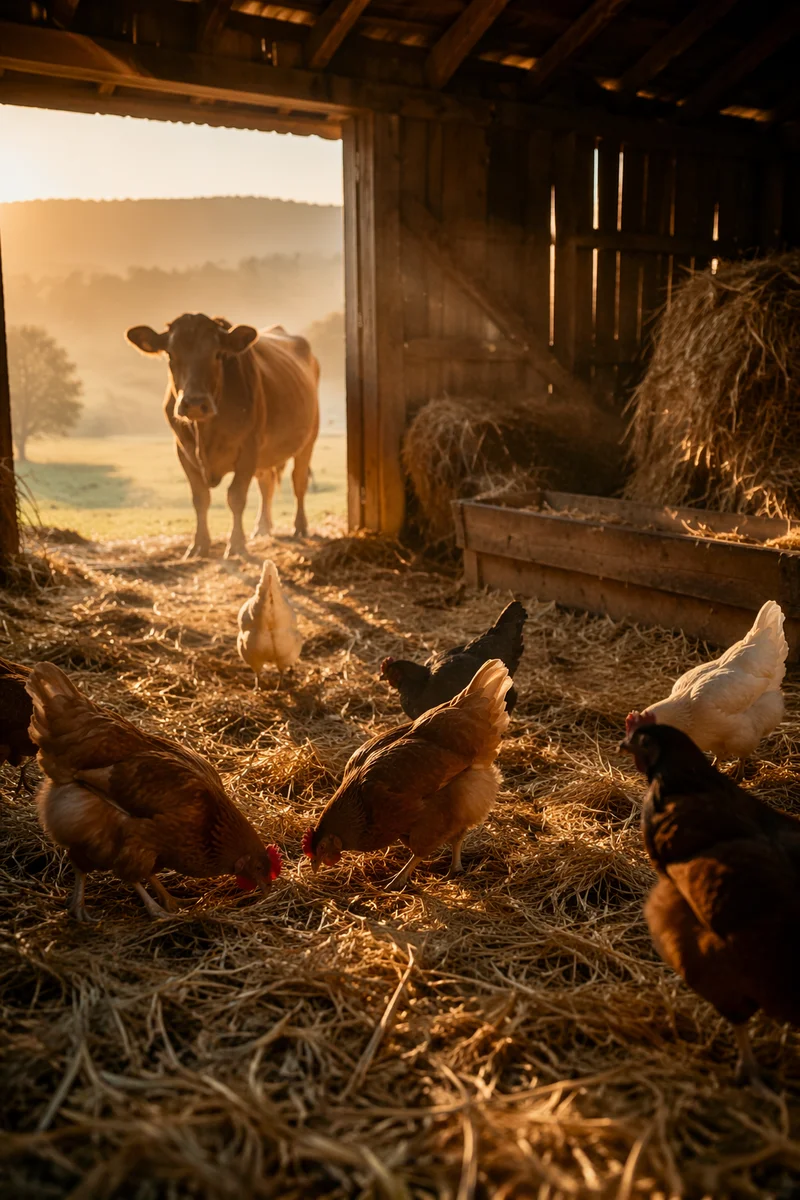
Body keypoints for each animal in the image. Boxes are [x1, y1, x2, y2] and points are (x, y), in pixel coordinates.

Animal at [125, 314, 319, 559]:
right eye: (170, 354)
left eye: (217, 353)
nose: (195, 403)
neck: (205, 431)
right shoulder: (183, 451)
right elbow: (200, 499)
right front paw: (199, 545)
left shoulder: (248, 449)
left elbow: (236, 497)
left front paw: (236, 545)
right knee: (266, 484)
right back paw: (262, 528)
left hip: (309, 439)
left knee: (299, 482)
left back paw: (300, 527)